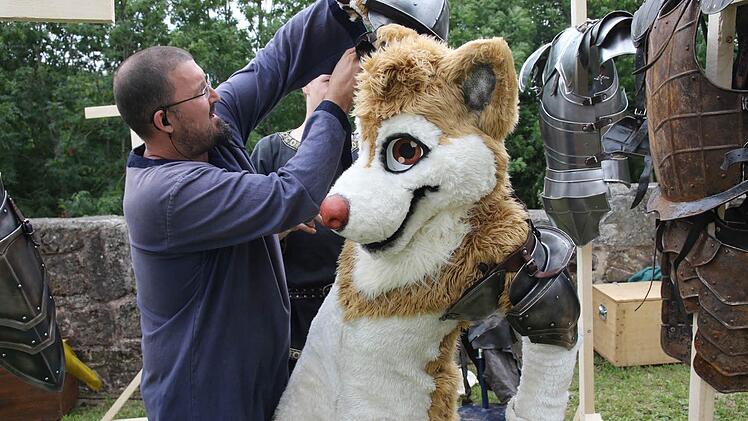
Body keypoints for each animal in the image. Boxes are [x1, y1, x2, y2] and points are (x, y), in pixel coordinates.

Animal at [274, 25, 580, 421]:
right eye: (361, 140)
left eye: (405, 151)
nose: (330, 211)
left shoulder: (505, 242)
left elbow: (548, 315)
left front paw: (524, 411)